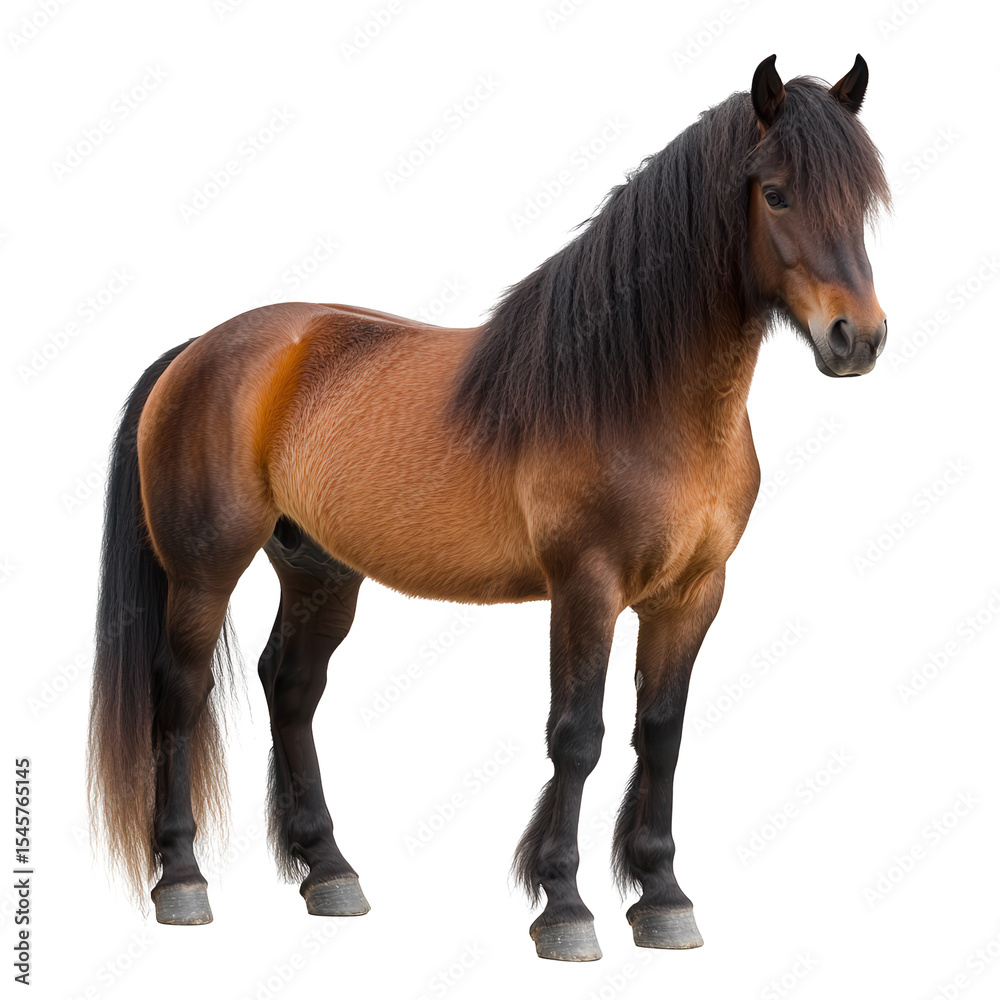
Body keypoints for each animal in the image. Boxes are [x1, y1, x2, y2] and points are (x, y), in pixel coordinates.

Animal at [88, 54, 889, 961]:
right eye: (777, 194)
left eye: (862, 200)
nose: (857, 339)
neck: (635, 392)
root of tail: (201, 349)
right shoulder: (586, 589)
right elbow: (577, 736)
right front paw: (565, 908)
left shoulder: (693, 595)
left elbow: (662, 732)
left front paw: (662, 896)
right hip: (204, 569)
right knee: (181, 691)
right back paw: (182, 880)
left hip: (320, 572)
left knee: (289, 687)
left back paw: (330, 872)